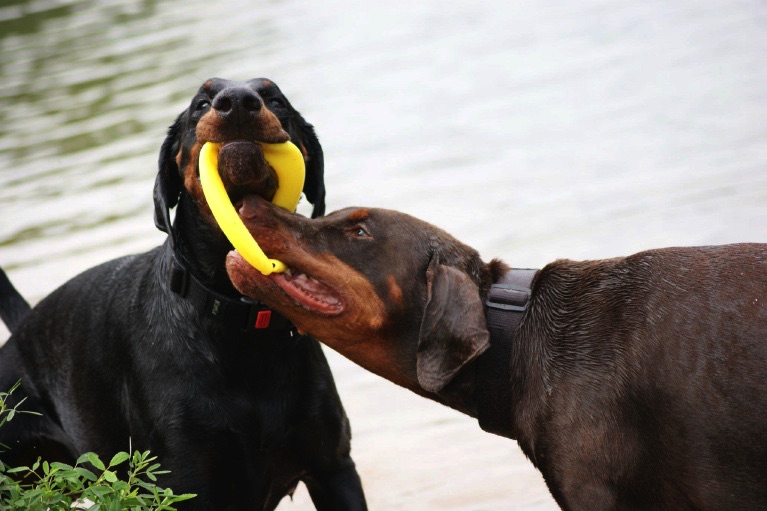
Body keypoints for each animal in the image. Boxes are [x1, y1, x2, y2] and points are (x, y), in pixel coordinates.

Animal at [0, 77, 368, 511]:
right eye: (202, 103)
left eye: (274, 98)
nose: (237, 102)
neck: (241, 325)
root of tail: (23, 329)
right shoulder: (185, 486)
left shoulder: (333, 468)